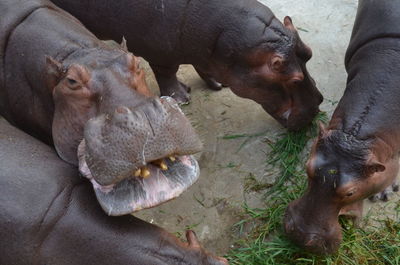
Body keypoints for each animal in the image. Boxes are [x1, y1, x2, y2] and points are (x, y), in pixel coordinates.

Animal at [51, 0, 324, 129]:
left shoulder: (205, 51)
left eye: (309, 53)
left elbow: (203, 67)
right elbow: (166, 73)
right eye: (293, 78)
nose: (317, 107)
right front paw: (182, 98)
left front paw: (219, 84)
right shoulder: (160, 53)